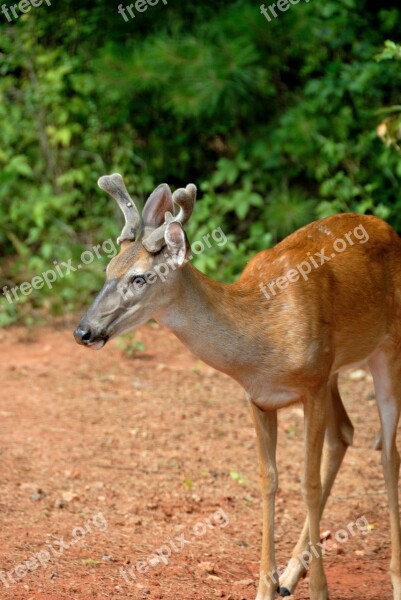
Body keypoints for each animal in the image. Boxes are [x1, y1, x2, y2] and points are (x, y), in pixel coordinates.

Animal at [73, 173, 400, 600]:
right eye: (108, 268)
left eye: (140, 277)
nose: (83, 330)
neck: (261, 339)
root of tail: (388, 229)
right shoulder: (261, 398)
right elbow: (269, 481)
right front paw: (267, 586)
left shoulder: (311, 386)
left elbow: (308, 484)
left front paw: (320, 591)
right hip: (334, 370)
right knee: (345, 433)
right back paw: (291, 575)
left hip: (385, 349)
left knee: (388, 453)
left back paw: (393, 578)